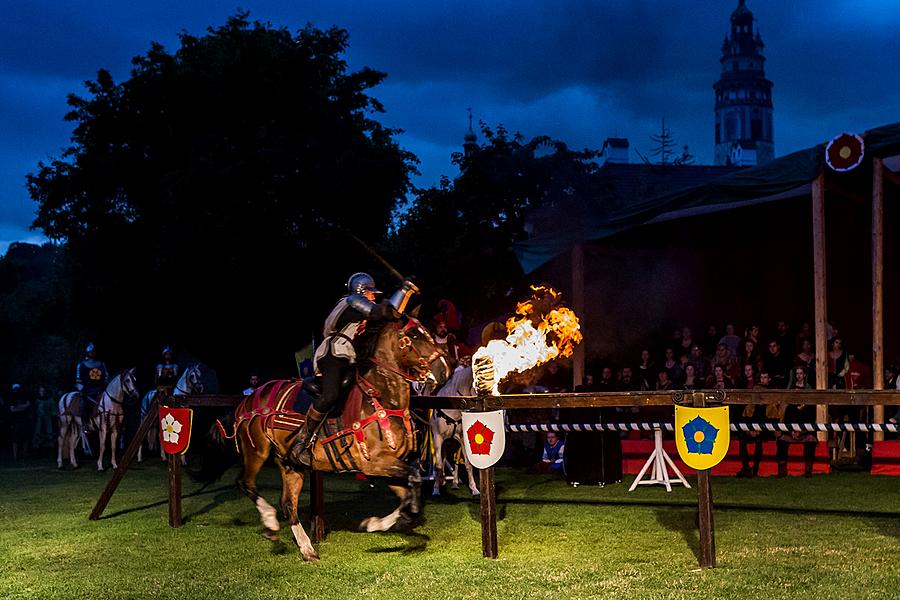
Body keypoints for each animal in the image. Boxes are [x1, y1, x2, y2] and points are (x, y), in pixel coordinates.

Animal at [223, 316, 448, 560]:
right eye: (414, 335)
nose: (444, 370)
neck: (381, 397)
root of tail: (249, 399)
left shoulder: (388, 465)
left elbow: (408, 494)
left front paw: (375, 523)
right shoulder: (374, 463)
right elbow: (414, 482)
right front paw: (386, 521)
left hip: (290, 464)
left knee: (288, 504)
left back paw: (307, 548)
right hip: (256, 450)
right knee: (245, 482)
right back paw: (270, 522)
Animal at [432, 366, 482, 496]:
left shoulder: (463, 439)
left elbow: (468, 464)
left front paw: (474, 489)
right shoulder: (438, 438)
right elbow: (438, 464)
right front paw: (436, 489)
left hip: (454, 442)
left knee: (455, 459)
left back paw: (454, 482)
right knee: (444, 458)